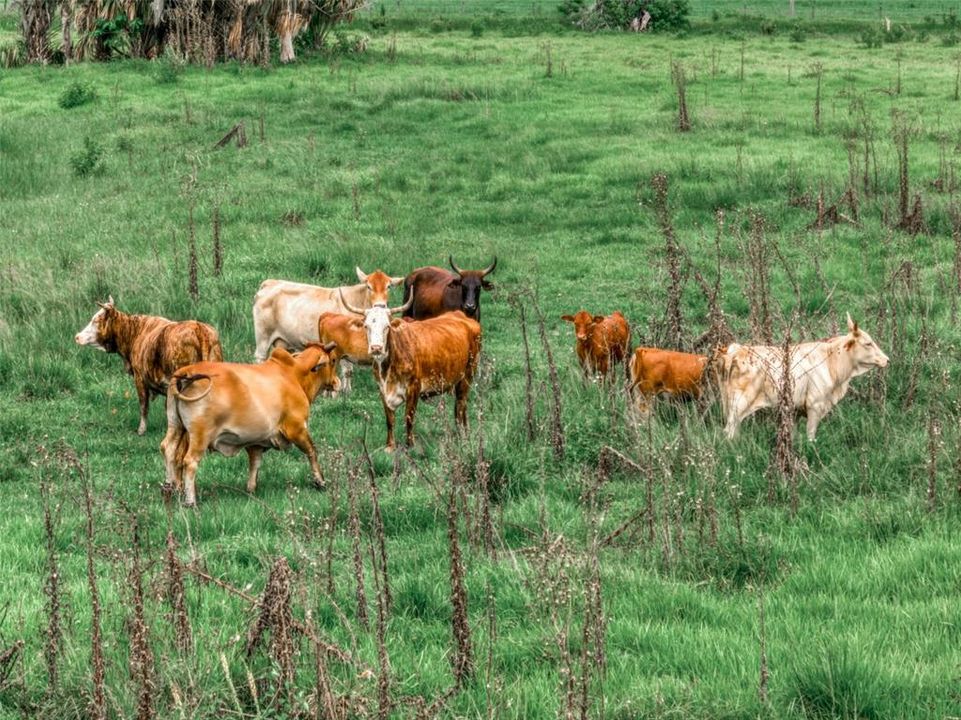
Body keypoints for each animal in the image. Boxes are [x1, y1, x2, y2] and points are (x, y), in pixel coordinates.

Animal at [75, 296, 223, 436]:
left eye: (96, 320)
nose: (77, 336)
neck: (134, 333)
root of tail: (199, 328)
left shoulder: (140, 378)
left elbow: (144, 405)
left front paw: (141, 430)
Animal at [163, 344, 344, 506]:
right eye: (333, 360)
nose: (337, 382)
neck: (294, 374)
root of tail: (187, 371)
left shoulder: (256, 441)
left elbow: (255, 463)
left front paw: (251, 490)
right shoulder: (297, 428)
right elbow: (312, 451)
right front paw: (320, 481)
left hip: (175, 426)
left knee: (168, 449)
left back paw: (170, 489)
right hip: (200, 435)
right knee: (190, 461)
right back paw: (190, 501)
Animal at [342, 288, 484, 448]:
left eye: (387, 326)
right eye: (366, 326)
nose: (376, 348)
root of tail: (462, 316)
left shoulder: (414, 387)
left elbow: (409, 418)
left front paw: (410, 445)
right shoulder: (382, 389)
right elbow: (389, 420)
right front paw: (390, 445)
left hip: (467, 375)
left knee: (460, 406)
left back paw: (462, 436)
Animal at [716, 314, 888, 442]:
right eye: (868, 343)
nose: (886, 359)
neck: (831, 362)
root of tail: (737, 350)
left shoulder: (795, 409)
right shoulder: (815, 405)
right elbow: (811, 435)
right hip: (739, 405)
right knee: (729, 431)